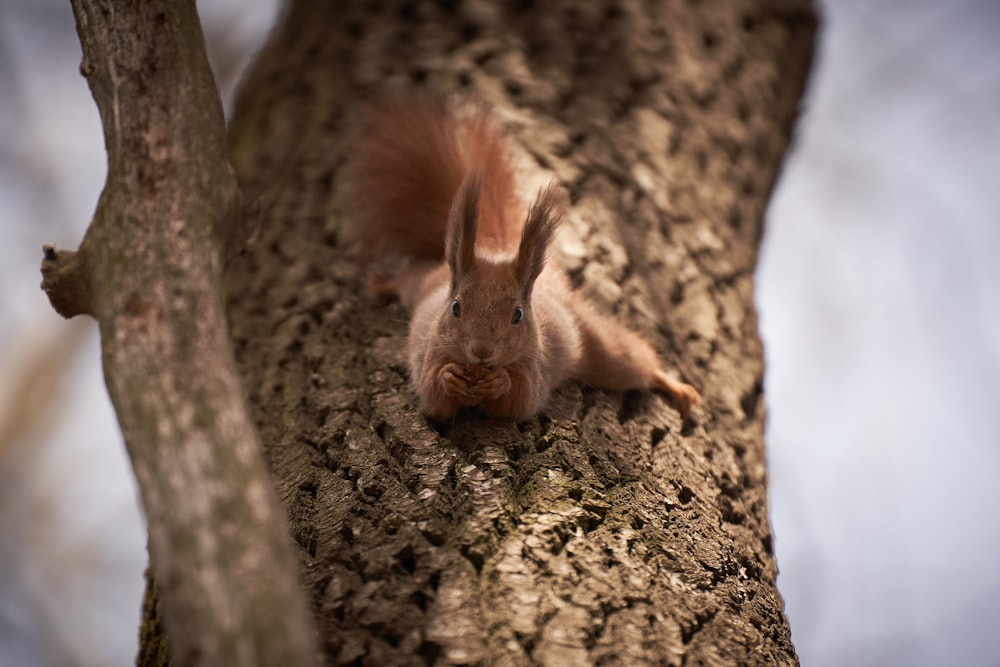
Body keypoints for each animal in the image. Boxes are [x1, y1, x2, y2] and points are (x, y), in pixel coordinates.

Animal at [344, 96, 704, 422]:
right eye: (455, 307)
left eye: (518, 314)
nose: (482, 352)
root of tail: (497, 248)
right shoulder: (428, 356)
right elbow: (434, 396)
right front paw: (449, 378)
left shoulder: (535, 368)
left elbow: (520, 399)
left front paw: (500, 381)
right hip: (421, 285)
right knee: (407, 279)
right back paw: (382, 284)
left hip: (597, 344)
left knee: (632, 361)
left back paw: (676, 387)